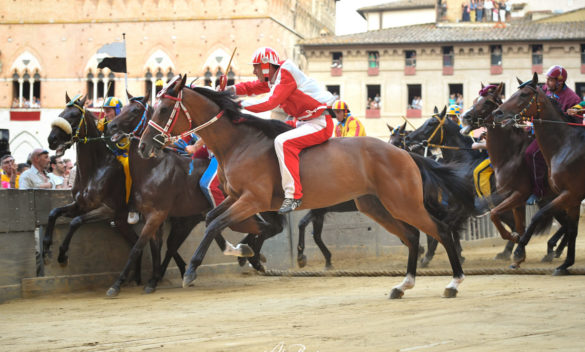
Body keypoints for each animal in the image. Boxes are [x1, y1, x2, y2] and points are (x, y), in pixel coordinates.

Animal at [105, 92, 288, 296]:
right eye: (124, 108)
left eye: (135, 111)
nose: (110, 126)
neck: (154, 167)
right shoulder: (152, 216)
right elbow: (156, 247)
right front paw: (153, 279)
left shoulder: (157, 214)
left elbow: (138, 248)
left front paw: (117, 284)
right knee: (269, 228)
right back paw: (250, 255)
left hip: (255, 204)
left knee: (266, 227)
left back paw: (248, 254)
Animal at [139, 75, 476, 298]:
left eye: (163, 109)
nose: (143, 146)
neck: (239, 143)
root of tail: (404, 152)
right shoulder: (235, 197)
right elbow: (213, 219)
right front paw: (242, 248)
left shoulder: (253, 199)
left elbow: (214, 224)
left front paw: (194, 268)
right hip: (376, 206)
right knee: (412, 236)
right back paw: (403, 284)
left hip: (404, 202)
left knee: (439, 231)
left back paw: (454, 282)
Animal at [460, 82, 564, 264]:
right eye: (474, 100)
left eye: (487, 102)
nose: (465, 117)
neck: (510, 154)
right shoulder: (513, 198)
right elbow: (518, 225)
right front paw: (518, 248)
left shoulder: (519, 194)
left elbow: (495, 215)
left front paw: (513, 240)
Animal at [492, 72, 580, 276]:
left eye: (524, 94)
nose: (497, 113)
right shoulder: (570, 198)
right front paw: (565, 264)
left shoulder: (569, 193)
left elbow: (536, 217)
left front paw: (518, 250)